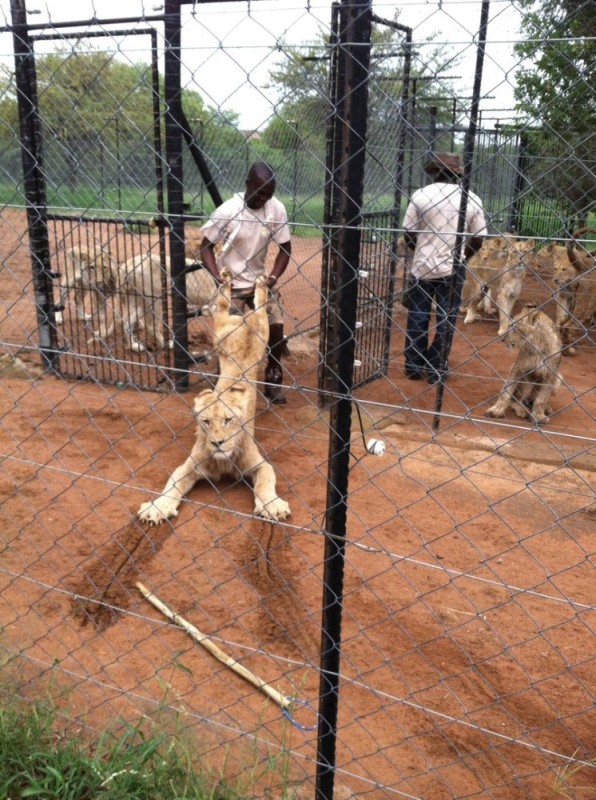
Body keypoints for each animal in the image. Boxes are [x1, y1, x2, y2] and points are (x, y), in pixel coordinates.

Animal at [137, 268, 292, 524]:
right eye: (206, 421)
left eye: (229, 420)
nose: (217, 443)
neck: (224, 460)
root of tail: (244, 320)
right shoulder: (189, 466)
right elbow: (172, 484)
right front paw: (158, 507)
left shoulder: (260, 464)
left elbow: (266, 481)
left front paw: (272, 505)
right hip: (220, 334)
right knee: (222, 305)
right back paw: (227, 279)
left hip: (262, 332)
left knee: (258, 306)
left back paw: (258, 284)